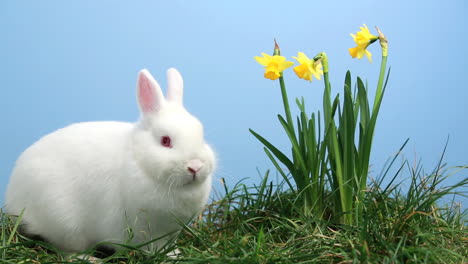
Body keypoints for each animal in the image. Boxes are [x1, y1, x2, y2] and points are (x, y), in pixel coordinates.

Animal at [3, 68, 215, 256]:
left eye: (202, 135)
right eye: (165, 141)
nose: (196, 166)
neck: (141, 162)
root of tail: (13, 198)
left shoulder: (169, 232)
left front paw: (174, 254)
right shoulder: (143, 229)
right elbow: (150, 247)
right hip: (64, 223)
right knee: (65, 251)